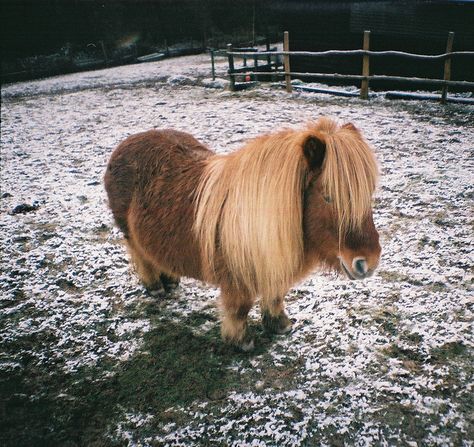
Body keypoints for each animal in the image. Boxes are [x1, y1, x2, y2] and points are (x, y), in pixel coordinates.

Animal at [104, 117, 382, 352]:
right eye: (328, 196)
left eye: (367, 194)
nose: (368, 262)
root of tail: (126, 143)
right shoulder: (236, 278)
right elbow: (239, 309)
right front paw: (242, 341)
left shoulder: (274, 263)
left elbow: (276, 294)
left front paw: (280, 325)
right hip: (130, 235)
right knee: (141, 257)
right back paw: (155, 287)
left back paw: (171, 280)